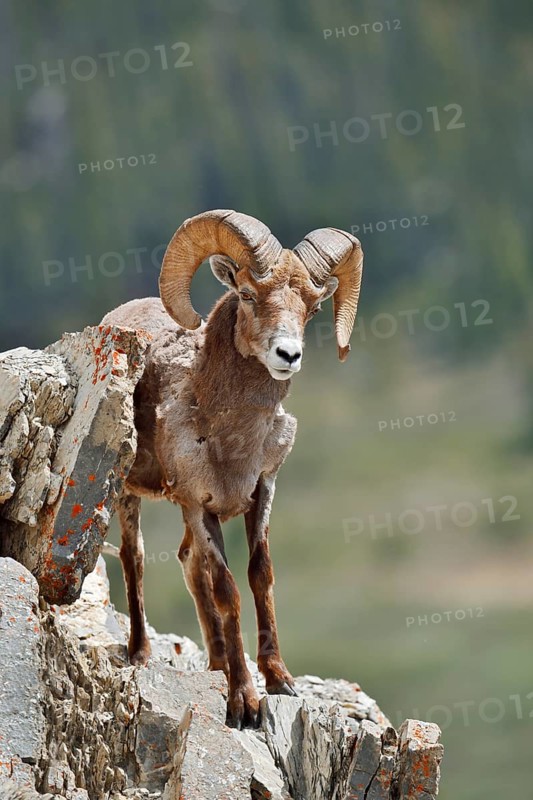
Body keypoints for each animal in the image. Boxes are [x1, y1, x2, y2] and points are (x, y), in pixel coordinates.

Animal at [101, 209, 363, 728]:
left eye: (312, 308)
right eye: (247, 293)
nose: (288, 356)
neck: (231, 438)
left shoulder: (261, 491)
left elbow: (260, 576)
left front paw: (279, 679)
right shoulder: (200, 504)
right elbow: (228, 590)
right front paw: (244, 701)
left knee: (187, 561)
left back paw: (217, 661)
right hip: (129, 494)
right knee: (133, 557)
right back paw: (140, 653)